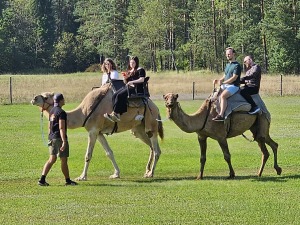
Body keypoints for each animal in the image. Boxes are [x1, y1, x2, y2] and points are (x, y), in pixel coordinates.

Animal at [30, 83, 163, 180]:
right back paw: (147, 171)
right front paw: (116, 174)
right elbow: (109, 153)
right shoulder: (99, 133)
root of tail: (155, 106)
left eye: (46, 97)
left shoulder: (93, 131)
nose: (33, 98)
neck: (83, 113)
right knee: (152, 147)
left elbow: (88, 155)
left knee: (156, 149)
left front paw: (82, 177)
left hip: (151, 123)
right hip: (138, 129)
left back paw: (151, 173)